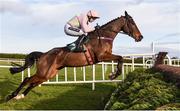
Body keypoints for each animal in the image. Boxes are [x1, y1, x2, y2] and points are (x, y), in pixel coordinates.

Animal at [5, 11, 143, 101]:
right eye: (132, 22)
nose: (140, 37)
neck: (104, 36)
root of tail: (44, 54)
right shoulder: (101, 56)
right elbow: (120, 58)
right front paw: (113, 75)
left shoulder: (105, 56)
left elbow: (120, 58)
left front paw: (113, 74)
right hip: (43, 72)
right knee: (26, 79)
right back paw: (11, 95)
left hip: (48, 74)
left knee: (32, 83)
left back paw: (20, 95)